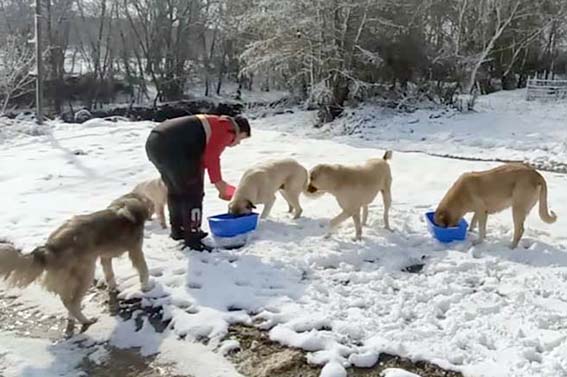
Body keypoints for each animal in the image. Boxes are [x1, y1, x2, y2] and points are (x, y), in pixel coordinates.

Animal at [0, 192, 155, 334]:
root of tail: (49, 249)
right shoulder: (135, 250)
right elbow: (144, 269)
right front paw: (146, 287)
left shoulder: (105, 257)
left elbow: (109, 274)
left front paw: (113, 288)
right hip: (86, 274)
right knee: (72, 303)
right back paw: (86, 321)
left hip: (74, 279)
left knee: (67, 302)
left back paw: (74, 319)